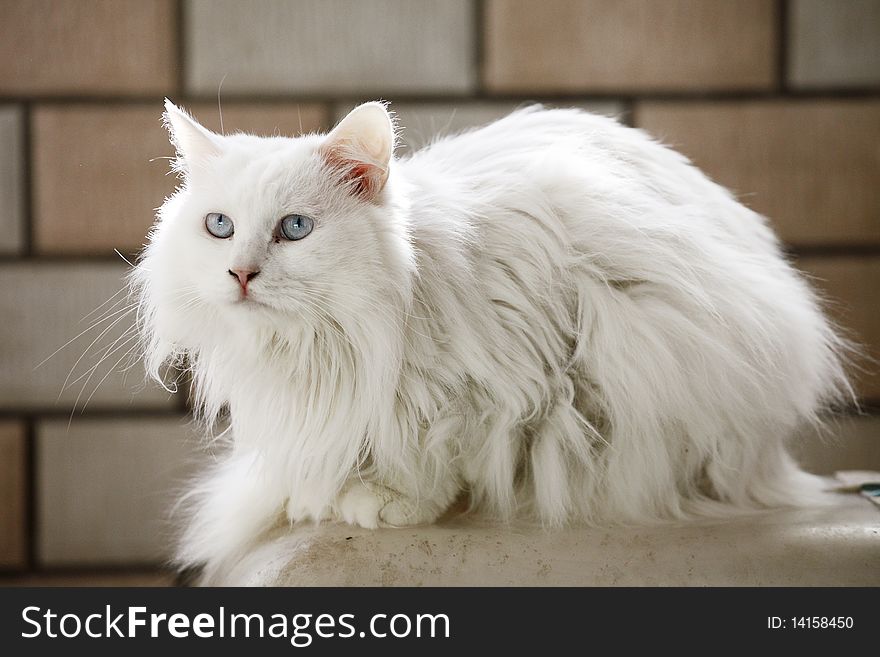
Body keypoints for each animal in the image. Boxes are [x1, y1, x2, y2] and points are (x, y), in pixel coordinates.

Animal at [132, 98, 852, 580]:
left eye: (295, 228)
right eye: (219, 226)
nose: (240, 273)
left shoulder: (519, 366)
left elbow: (441, 445)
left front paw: (389, 500)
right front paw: (329, 491)